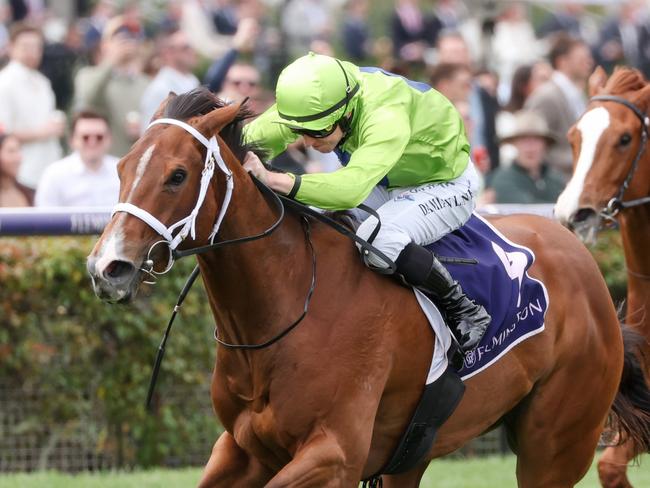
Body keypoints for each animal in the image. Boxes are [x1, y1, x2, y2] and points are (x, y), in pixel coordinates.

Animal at [87, 88, 648, 488]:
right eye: (120, 167)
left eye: (177, 175)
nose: (107, 267)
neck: (287, 306)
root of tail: (581, 258)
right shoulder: (242, 449)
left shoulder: (334, 454)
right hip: (416, 449)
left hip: (555, 444)